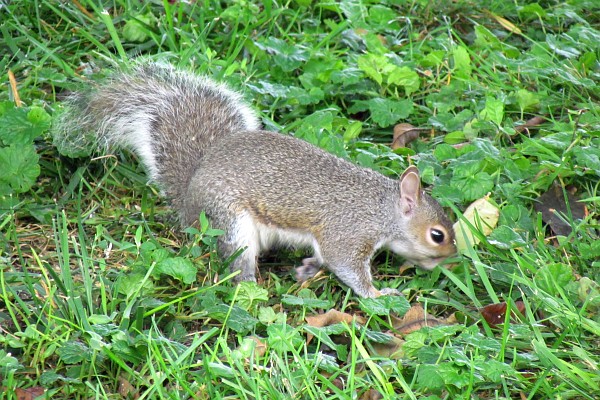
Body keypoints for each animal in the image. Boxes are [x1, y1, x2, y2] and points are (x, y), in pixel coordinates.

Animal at [55, 62, 454, 298]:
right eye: (437, 235)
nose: (452, 259)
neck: (381, 208)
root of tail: (191, 194)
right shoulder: (348, 232)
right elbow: (346, 266)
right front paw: (379, 295)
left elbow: (323, 257)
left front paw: (310, 267)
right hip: (231, 222)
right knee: (236, 263)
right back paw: (249, 287)